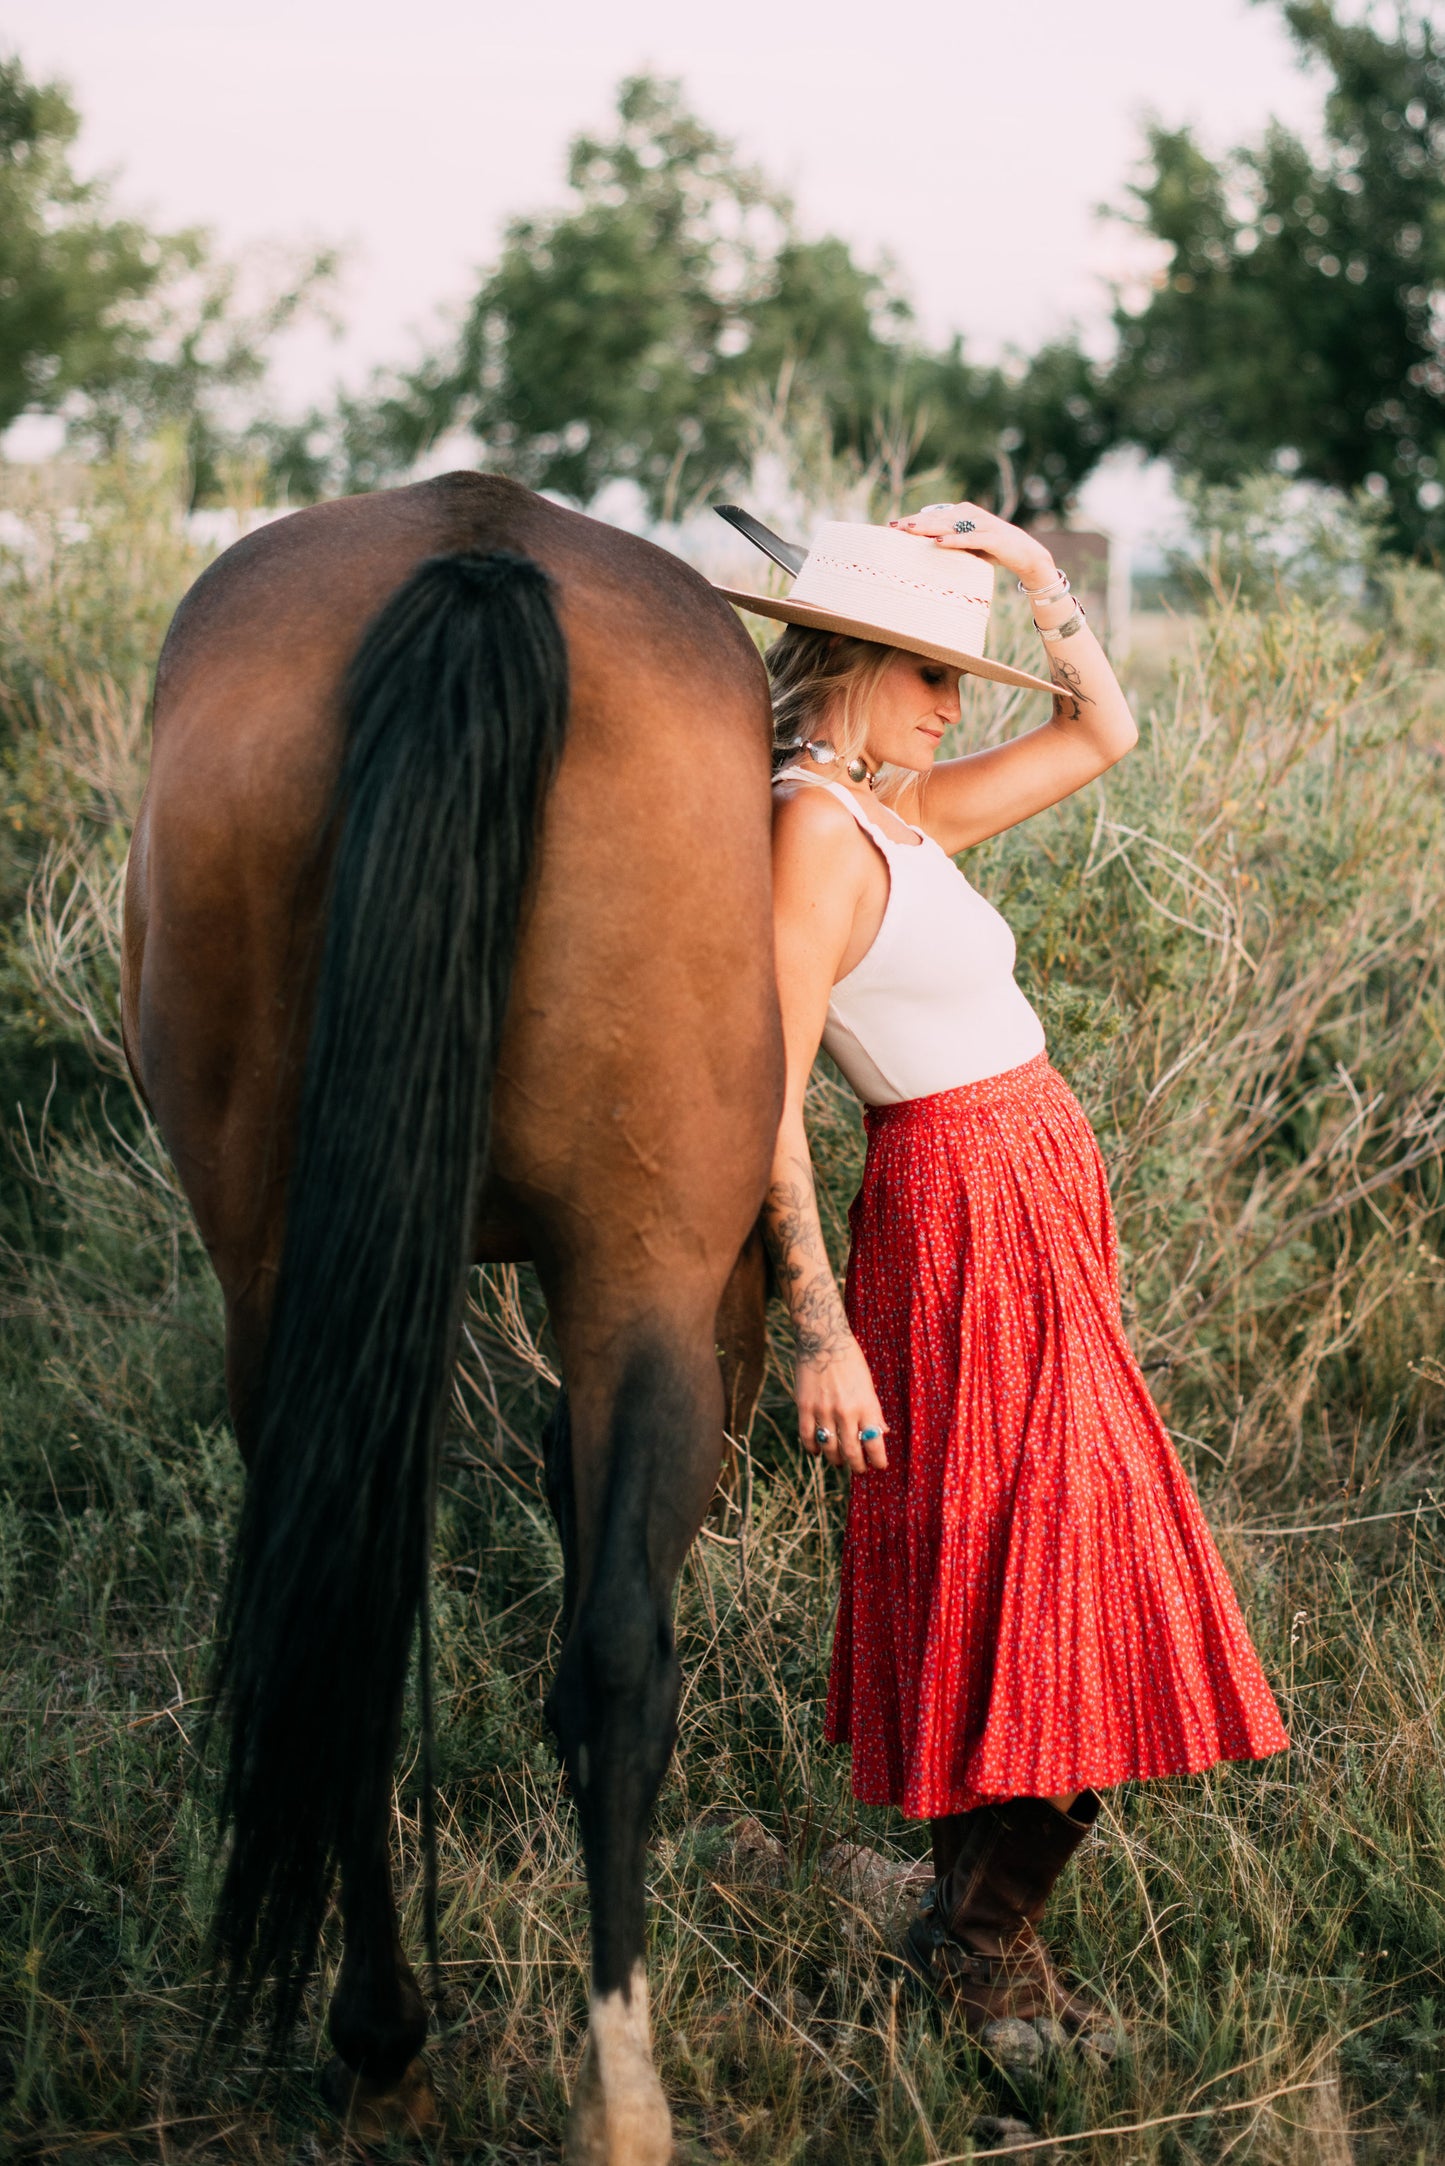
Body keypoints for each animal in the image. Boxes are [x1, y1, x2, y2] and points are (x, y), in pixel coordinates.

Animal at [118, 478, 784, 2166]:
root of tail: (475, 547)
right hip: (641, 1270)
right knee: (595, 1647)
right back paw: (532, 2075)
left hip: (313, 1279)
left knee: (367, 1605)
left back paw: (465, 2064)